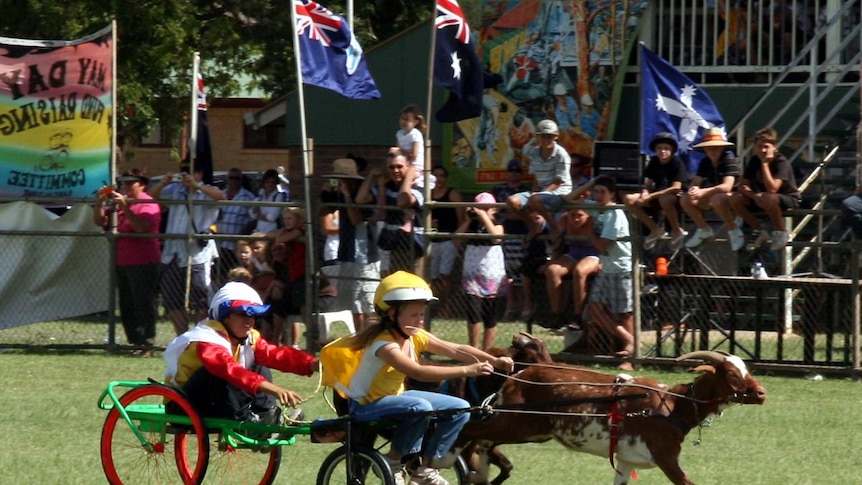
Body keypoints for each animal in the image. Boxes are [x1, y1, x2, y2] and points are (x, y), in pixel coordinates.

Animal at [456, 352, 768, 484]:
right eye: (732, 374)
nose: (762, 393)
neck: (673, 405)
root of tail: (516, 376)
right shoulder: (666, 456)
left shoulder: (626, 459)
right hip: (516, 423)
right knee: (470, 430)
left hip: (527, 429)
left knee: (483, 441)